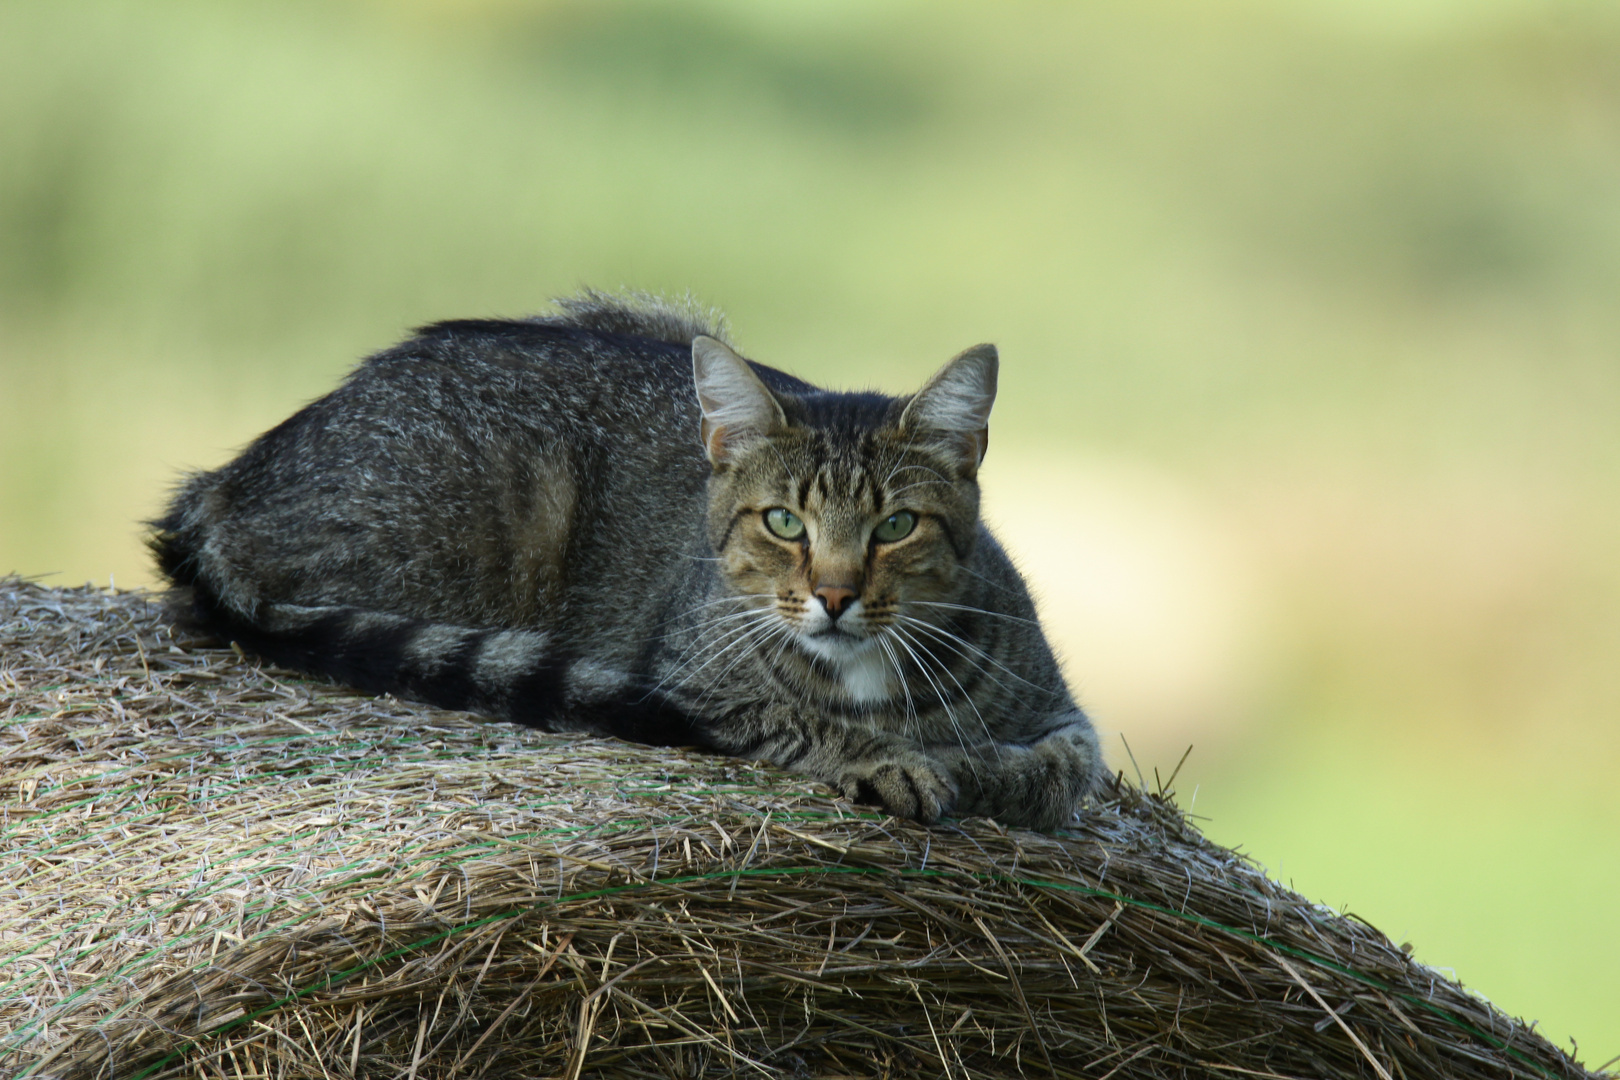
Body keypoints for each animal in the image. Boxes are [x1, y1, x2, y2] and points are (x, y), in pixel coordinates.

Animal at [149, 291, 1101, 835]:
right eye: (784, 523)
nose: (833, 594)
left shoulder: (1069, 719)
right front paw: (894, 759)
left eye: (896, 526)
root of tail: (225, 484)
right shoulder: (693, 679)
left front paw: (975, 766)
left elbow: (1054, 771)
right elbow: (802, 720)